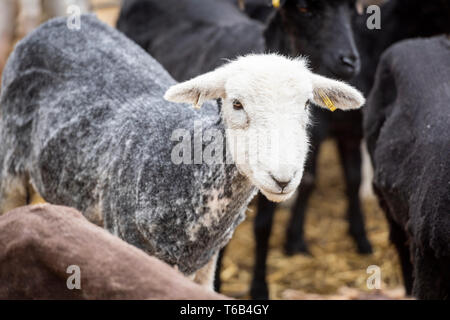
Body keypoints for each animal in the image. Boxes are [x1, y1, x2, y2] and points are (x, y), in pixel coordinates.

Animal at [0, 15, 366, 288]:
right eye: (236, 104)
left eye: (306, 105)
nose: (283, 177)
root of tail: (58, 22)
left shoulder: (206, 266)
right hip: (9, 172)